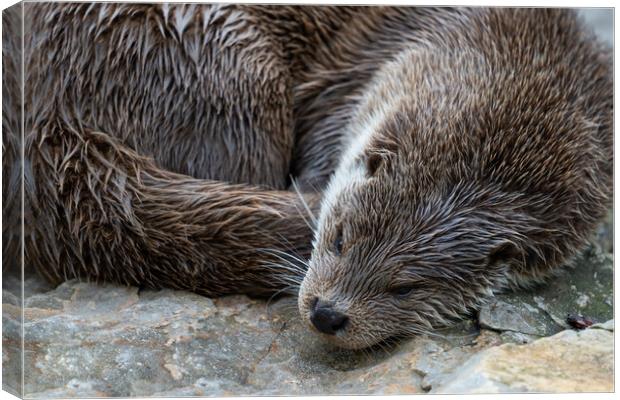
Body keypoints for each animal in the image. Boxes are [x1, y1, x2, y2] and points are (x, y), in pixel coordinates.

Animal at [2, 5, 612, 350]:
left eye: (406, 287)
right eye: (338, 238)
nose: (327, 314)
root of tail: (43, 122)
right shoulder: (348, 85)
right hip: (220, 66)